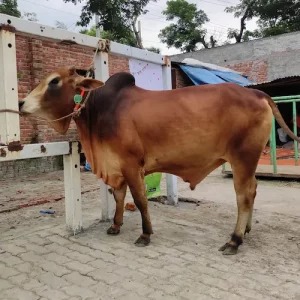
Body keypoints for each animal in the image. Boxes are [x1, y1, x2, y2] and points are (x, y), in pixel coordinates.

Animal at [19, 67, 300, 254]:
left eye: (54, 81)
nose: (21, 102)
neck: (100, 111)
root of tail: (258, 94)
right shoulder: (117, 165)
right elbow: (118, 197)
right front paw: (115, 225)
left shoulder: (132, 165)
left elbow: (140, 200)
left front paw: (145, 234)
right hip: (247, 162)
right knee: (253, 190)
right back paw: (247, 230)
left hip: (242, 158)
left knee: (244, 195)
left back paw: (235, 239)